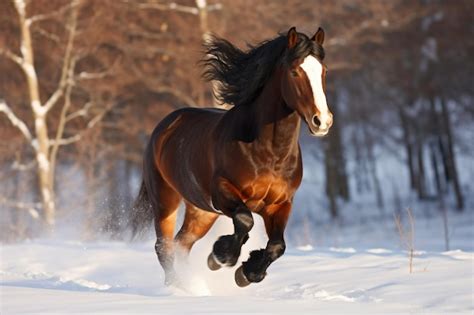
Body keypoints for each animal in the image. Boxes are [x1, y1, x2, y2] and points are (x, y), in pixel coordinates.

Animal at [128, 27, 332, 288]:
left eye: (323, 71)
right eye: (295, 71)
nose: (322, 121)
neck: (270, 155)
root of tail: (164, 126)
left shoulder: (280, 204)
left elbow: (277, 245)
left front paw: (248, 272)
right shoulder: (224, 191)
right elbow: (245, 220)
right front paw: (220, 257)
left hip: (202, 212)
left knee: (182, 243)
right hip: (166, 200)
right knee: (164, 247)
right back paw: (178, 287)